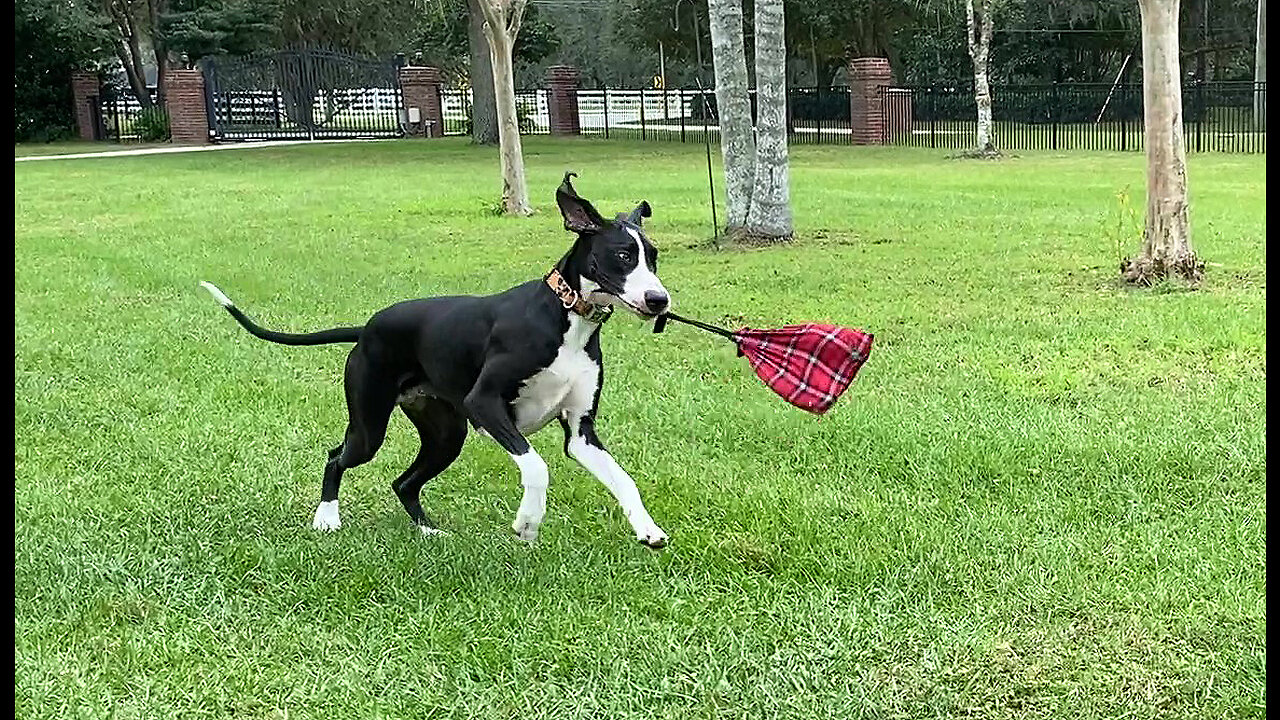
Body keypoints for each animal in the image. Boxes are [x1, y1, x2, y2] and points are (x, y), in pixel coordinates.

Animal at [199, 172, 670, 543]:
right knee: (336, 457)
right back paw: (327, 518)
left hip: (445, 435)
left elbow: (624, 480)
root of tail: (367, 327)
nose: (659, 300)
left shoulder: (580, 433)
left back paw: (427, 530)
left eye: (654, 257)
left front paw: (648, 529)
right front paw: (528, 522)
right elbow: (536, 467)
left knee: (404, 482)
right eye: (623, 255)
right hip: (370, 426)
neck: (566, 318)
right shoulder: (485, 403)